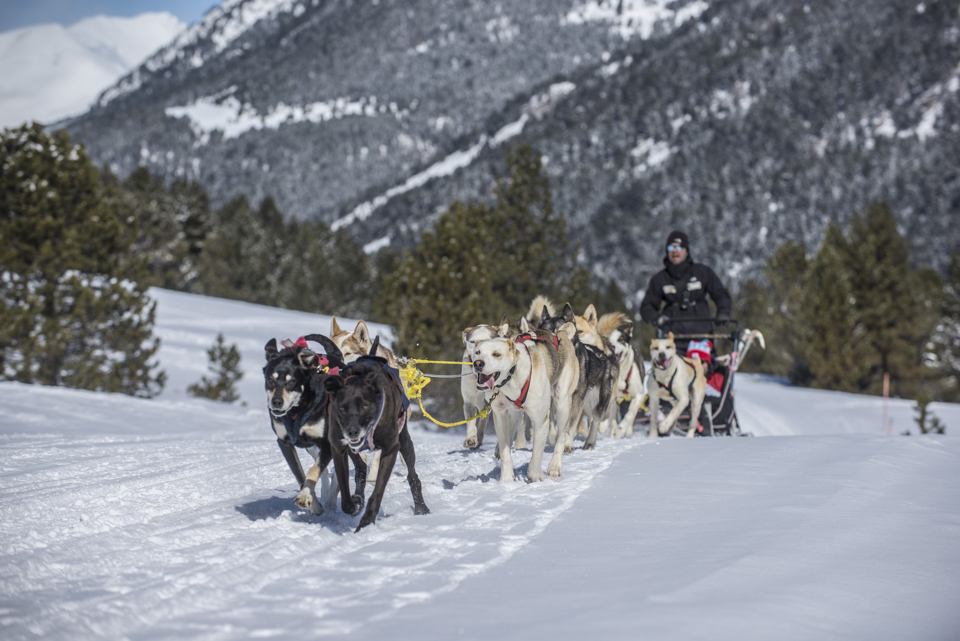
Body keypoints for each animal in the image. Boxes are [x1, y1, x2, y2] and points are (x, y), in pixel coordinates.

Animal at [264, 336, 370, 516]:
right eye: (270, 379)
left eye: (292, 381)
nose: (276, 402)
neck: (298, 410)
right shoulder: (284, 442)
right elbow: (300, 474)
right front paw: (312, 502)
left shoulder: (328, 443)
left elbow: (313, 471)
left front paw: (305, 496)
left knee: (359, 466)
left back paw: (352, 501)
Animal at [324, 336, 430, 528]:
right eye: (342, 408)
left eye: (365, 405)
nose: (352, 432)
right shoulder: (339, 447)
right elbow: (345, 490)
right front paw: (355, 505)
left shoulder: (391, 448)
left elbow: (378, 491)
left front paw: (366, 522)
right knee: (360, 468)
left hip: (405, 443)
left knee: (413, 476)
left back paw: (421, 508)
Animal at [470, 324, 576, 480]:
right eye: (478, 352)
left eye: (496, 354)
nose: (477, 363)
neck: (512, 377)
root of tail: (560, 333)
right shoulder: (500, 414)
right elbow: (505, 450)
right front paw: (506, 479)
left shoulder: (540, 419)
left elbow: (537, 453)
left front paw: (535, 476)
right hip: (515, 412)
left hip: (562, 401)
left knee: (560, 437)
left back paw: (555, 466)